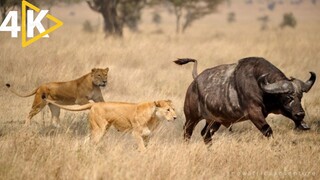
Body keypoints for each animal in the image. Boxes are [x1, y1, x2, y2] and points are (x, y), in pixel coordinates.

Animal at [175, 57, 318, 144]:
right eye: (288, 97)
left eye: (300, 97)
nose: (300, 114)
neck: (259, 85)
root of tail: (194, 82)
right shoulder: (254, 113)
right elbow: (268, 131)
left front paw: (302, 124)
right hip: (191, 118)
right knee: (187, 133)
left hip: (214, 121)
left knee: (205, 134)